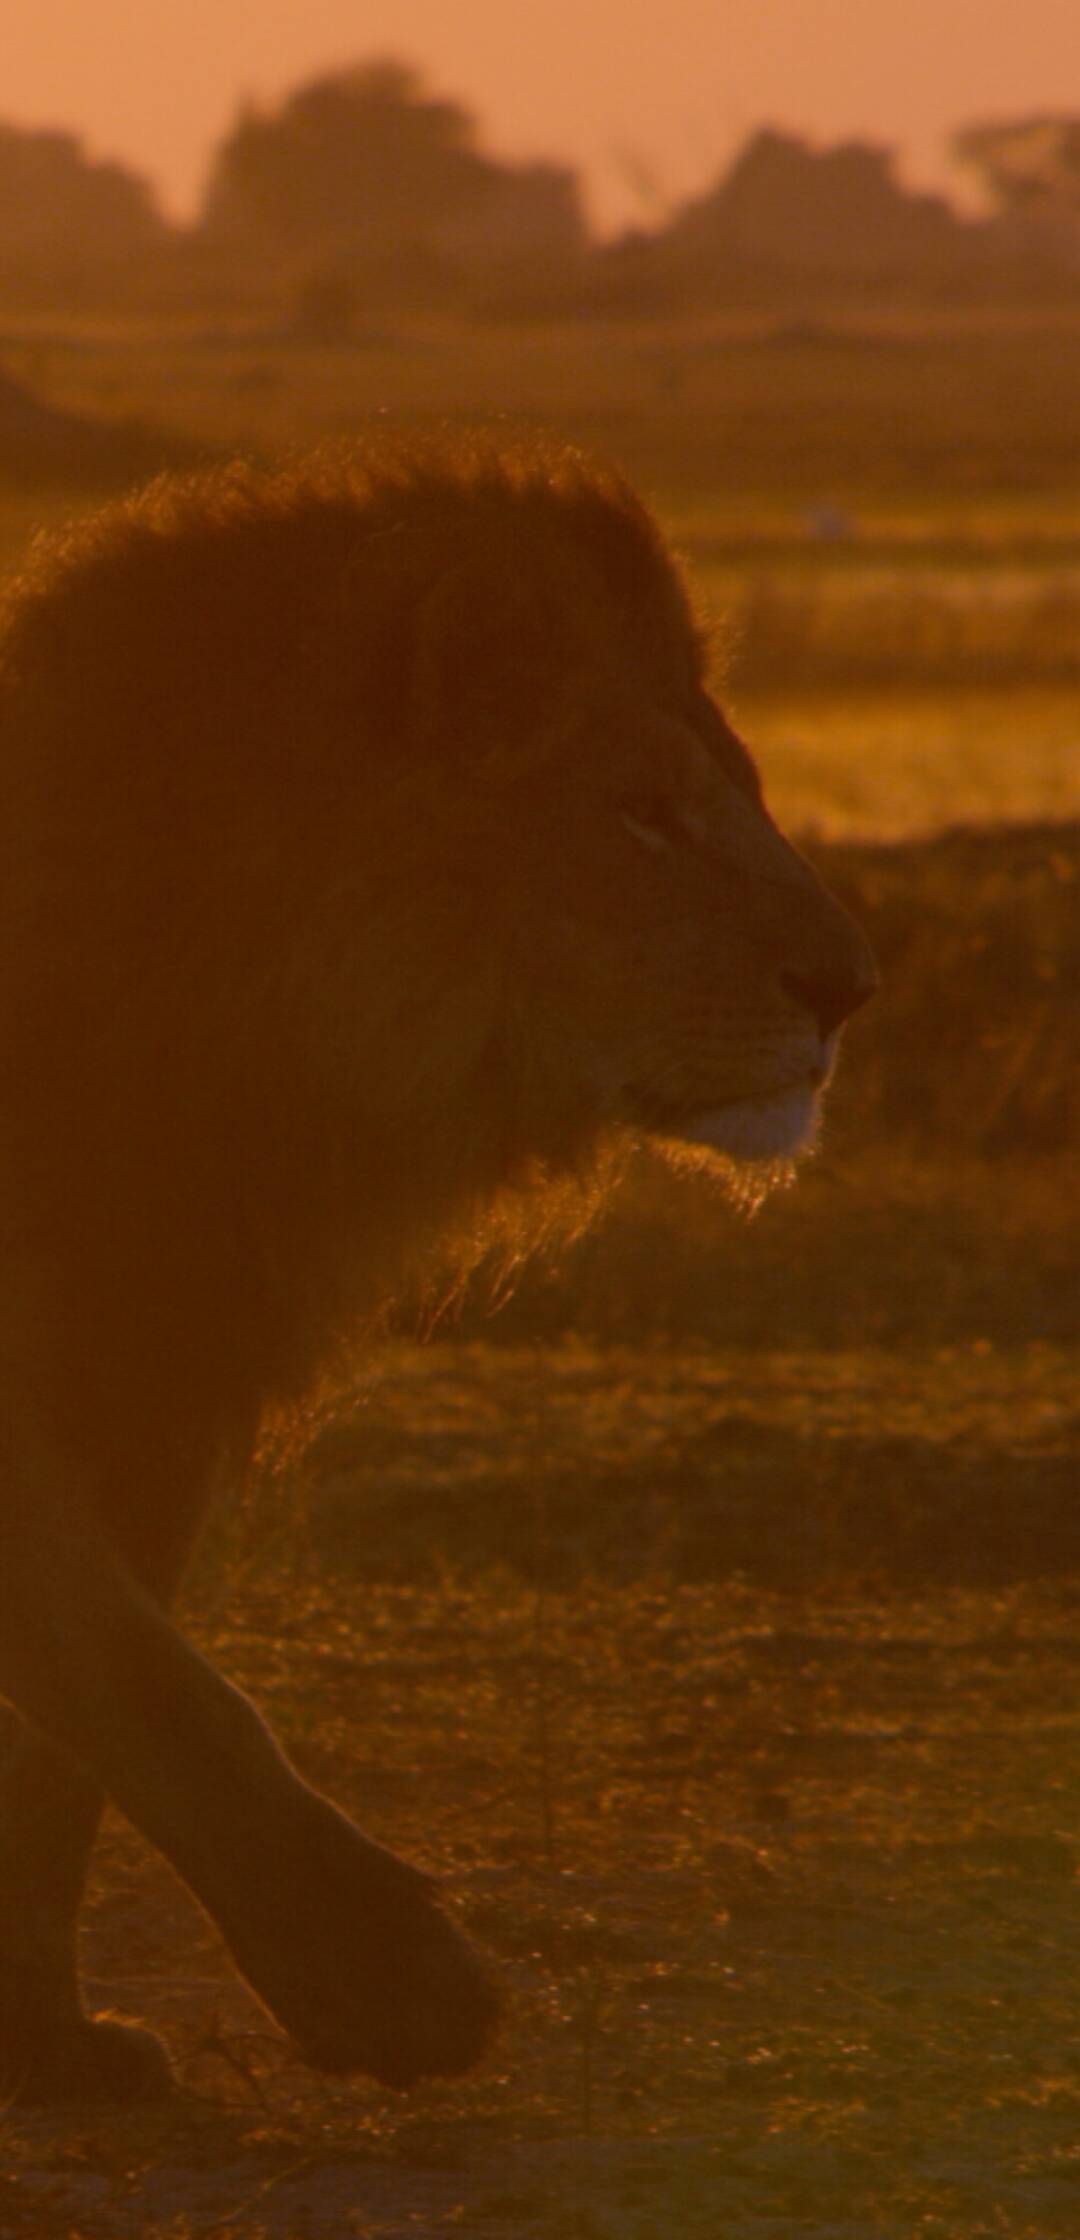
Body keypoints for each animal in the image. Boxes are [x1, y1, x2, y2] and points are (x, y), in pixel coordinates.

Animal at [0, 432, 873, 2096]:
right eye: (643, 814)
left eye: (741, 794)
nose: (853, 988)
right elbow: (150, 1683)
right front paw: (387, 1981)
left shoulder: (162, 1378)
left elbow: (64, 1759)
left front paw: (49, 2042)